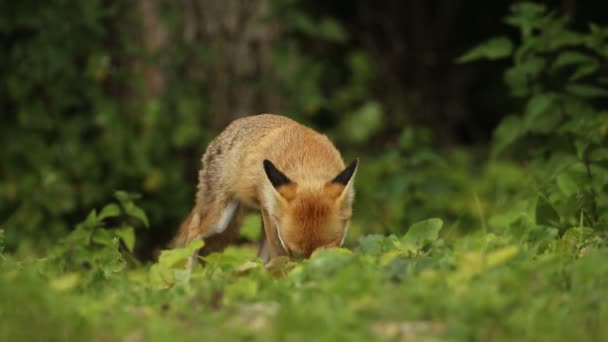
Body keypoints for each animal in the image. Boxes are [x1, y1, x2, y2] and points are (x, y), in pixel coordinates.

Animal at [171, 114, 358, 264]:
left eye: (327, 252)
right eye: (293, 252)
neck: (307, 162)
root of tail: (227, 129)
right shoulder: (270, 216)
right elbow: (279, 256)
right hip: (220, 219)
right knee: (193, 233)